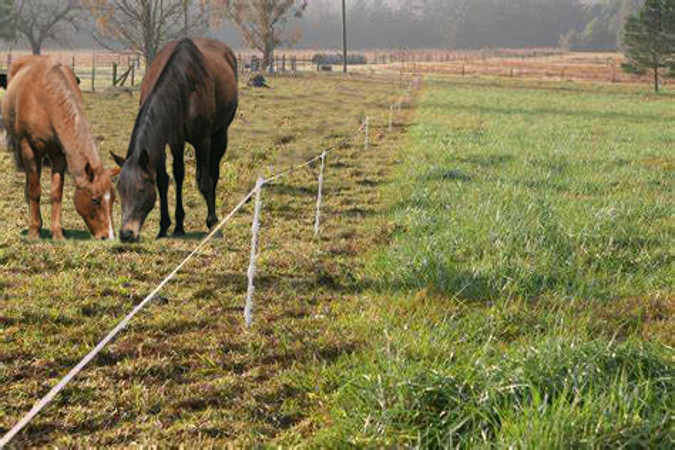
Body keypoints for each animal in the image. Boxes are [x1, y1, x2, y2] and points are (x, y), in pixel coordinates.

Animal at [1, 55, 119, 241]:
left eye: (113, 199)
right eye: (95, 199)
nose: (109, 236)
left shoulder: (59, 154)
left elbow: (56, 192)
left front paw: (57, 232)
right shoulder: (29, 149)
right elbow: (35, 190)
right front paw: (34, 231)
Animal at [111, 38, 238, 243]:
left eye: (141, 190)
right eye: (120, 189)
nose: (126, 234)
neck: (181, 86)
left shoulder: (202, 140)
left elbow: (205, 181)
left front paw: (212, 223)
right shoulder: (167, 141)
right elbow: (165, 180)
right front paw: (167, 226)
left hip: (220, 134)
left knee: (214, 172)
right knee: (180, 174)